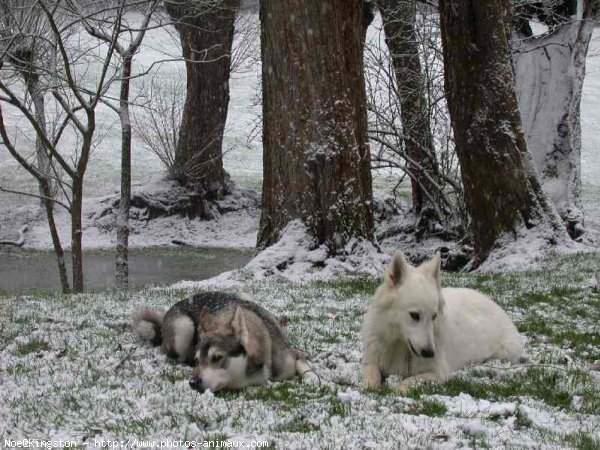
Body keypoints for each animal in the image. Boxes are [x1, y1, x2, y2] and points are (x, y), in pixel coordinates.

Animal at [360, 251, 524, 392]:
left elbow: (409, 380)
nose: (429, 353)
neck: (400, 345)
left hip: (503, 353)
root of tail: (494, 303)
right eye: (414, 315)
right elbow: (371, 373)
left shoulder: (437, 373)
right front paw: (370, 386)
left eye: (434, 316)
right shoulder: (371, 361)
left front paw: (398, 388)